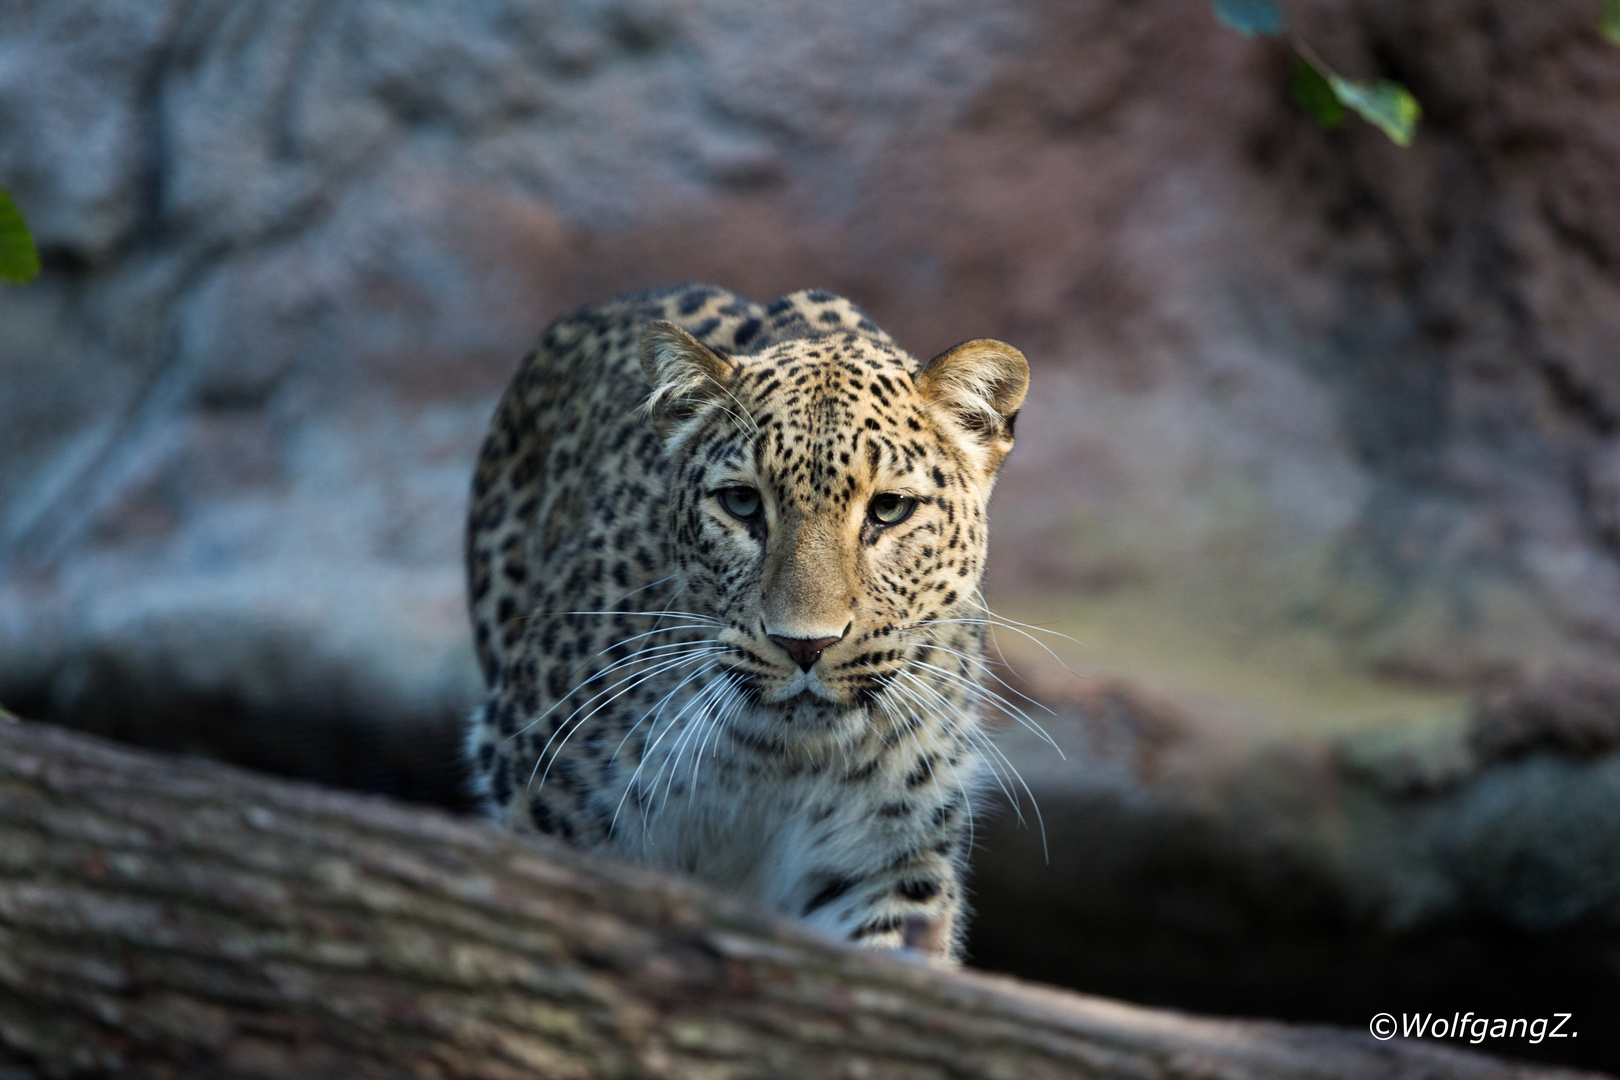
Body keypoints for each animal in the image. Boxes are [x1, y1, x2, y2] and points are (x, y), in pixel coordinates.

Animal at [466, 283, 1023, 958]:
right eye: (740, 502)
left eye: (890, 509)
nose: (805, 646)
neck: (780, 760)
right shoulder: (544, 790)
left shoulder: (885, 860)